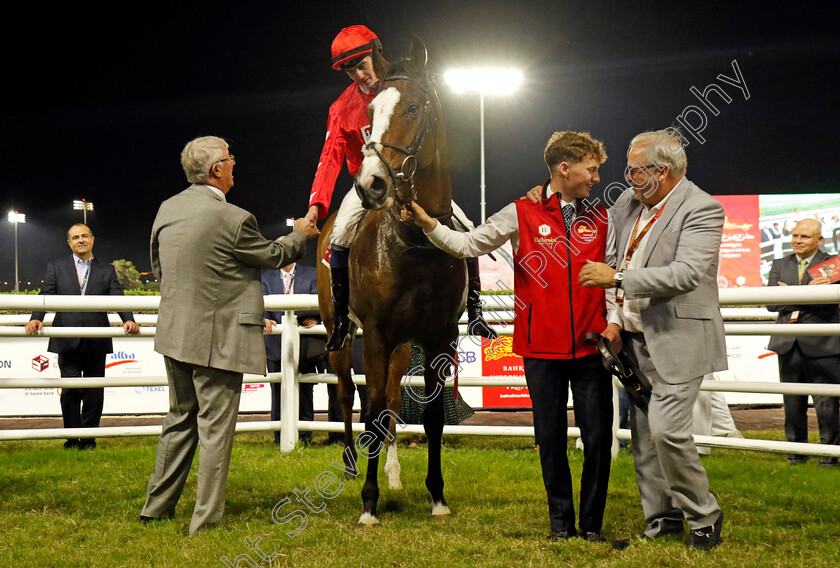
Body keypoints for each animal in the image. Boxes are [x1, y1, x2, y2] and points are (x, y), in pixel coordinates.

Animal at [318, 37, 470, 524]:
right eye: (369, 115)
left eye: (414, 108)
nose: (371, 184)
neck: (413, 243)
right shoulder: (376, 335)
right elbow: (367, 410)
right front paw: (369, 503)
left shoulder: (438, 336)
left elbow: (431, 416)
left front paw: (436, 495)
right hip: (341, 335)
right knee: (348, 393)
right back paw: (352, 463)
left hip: (403, 347)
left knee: (387, 401)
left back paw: (393, 472)